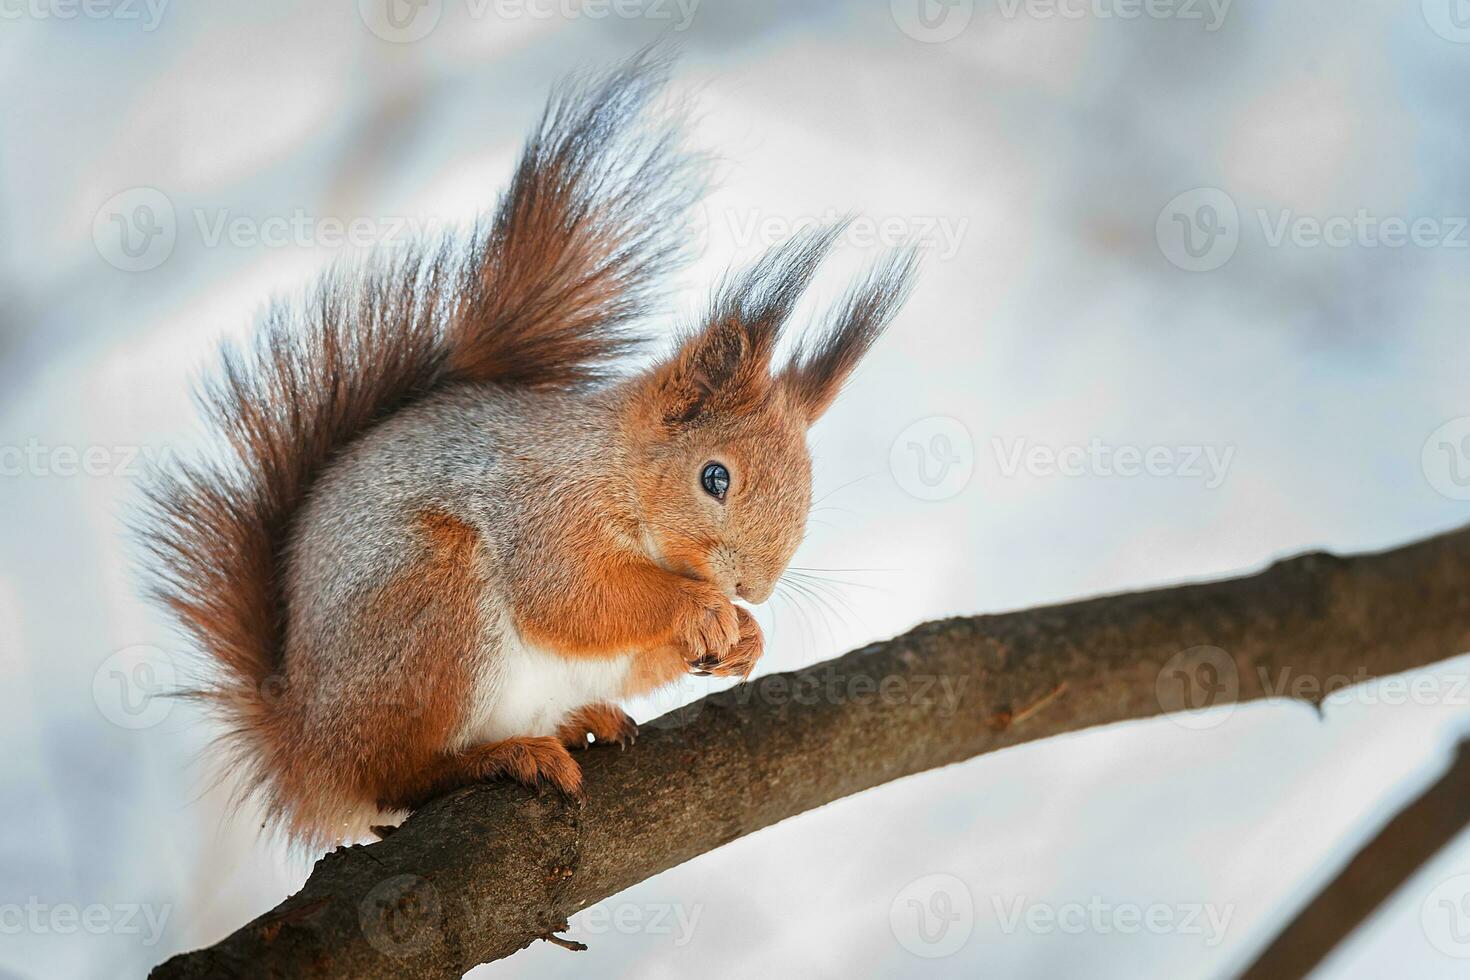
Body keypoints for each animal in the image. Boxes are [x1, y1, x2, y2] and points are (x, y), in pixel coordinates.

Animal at [140, 53, 917, 846]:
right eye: (715, 478)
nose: (752, 588)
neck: (613, 466)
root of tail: (305, 751)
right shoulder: (542, 507)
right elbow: (572, 597)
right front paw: (699, 608)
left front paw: (748, 636)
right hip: (433, 605)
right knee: (395, 776)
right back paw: (500, 757)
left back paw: (581, 722)